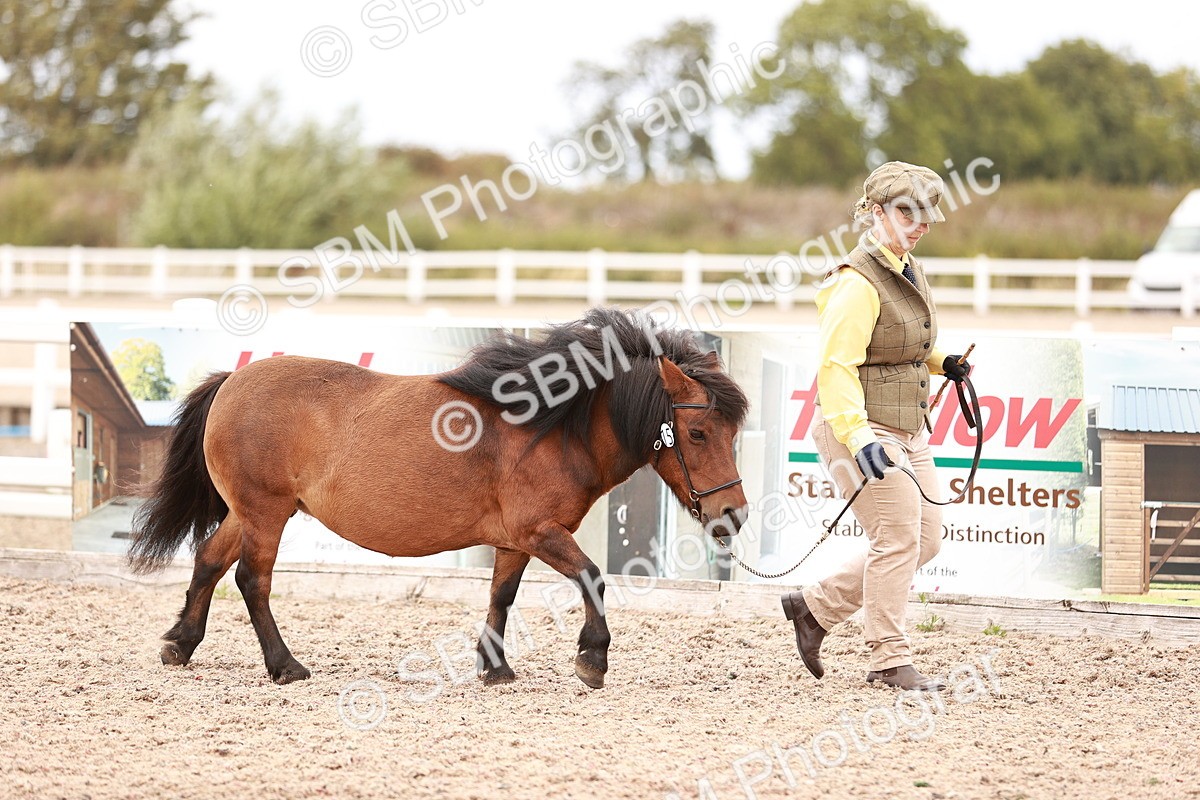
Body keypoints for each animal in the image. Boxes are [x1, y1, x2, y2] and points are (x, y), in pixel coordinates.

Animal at [129, 307, 750, 687]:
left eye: (732, 432)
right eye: (698, 433)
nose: (734, 513)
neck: (549, 426)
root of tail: (231, 384)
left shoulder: (515, 541)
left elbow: (502, 597)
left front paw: (494, 668)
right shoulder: (541, 531)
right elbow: (593, 577)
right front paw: (591, 658)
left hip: (250, 511)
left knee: (209, 561)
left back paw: (180, 644)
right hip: (265, 513)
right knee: (251, 580)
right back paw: (284, 666)